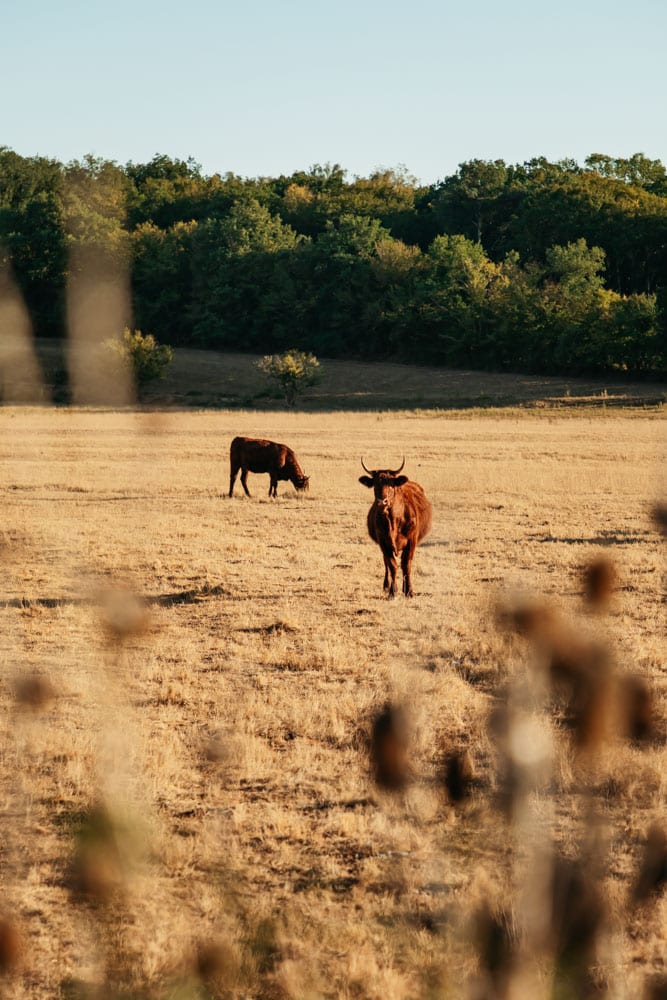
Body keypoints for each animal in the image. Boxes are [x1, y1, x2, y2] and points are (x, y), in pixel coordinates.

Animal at [360, 458, 434, 596]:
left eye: (391, 484)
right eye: (375, 485)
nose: (382, 502)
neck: (393, 521)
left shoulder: (412, 541)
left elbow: (406, 565)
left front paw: (409, 591)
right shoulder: (383, 543)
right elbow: (392, 565)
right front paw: (393, 591)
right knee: (386, 564)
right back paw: (386, 586)